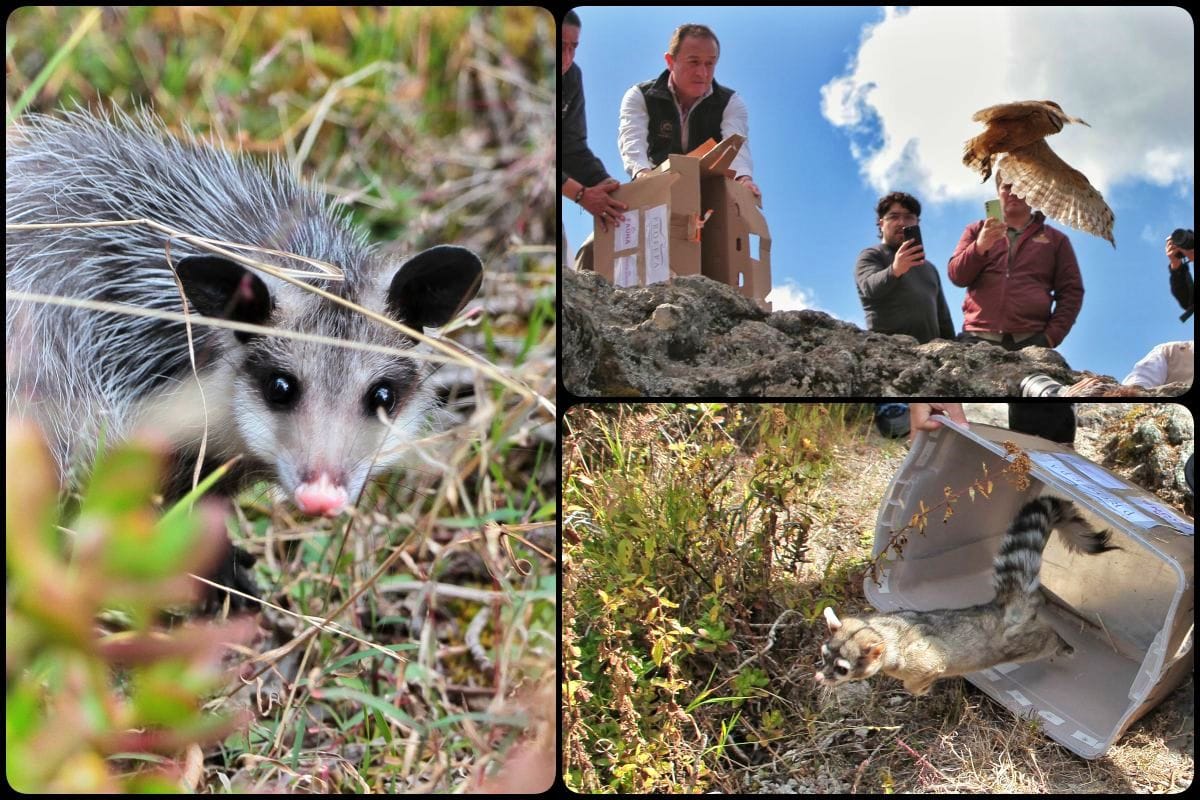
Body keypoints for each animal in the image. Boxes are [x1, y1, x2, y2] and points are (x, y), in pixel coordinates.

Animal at [811, 496, 1118, 695]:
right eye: (823, 655)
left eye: (842, 668)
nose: (817, 676)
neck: (881, 629)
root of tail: (1002, 605)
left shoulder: (922, 657)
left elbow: (921, 675)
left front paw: (918, 689)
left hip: (1024, 644)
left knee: (1046, 637)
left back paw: (1060, 643)